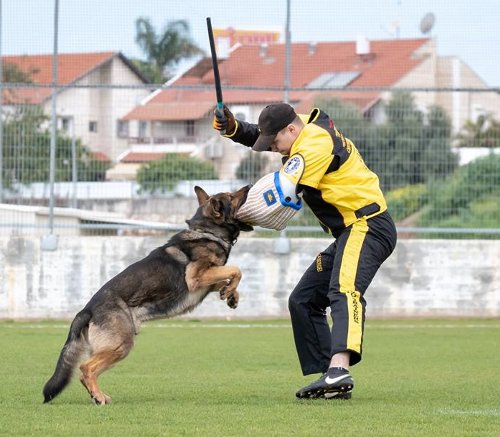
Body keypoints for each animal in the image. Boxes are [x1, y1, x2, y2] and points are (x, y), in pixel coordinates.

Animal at [42, 182, 254, 404]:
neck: (206, 231)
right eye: (231, 196)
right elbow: (236, 269)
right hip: (121, 344)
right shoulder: (196, 277)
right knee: (85, 368)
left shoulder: (207, 280)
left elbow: (227, 276)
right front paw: (230, 290)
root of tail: (87, 309)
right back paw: (98, 396)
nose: (249, 185)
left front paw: (231, 294)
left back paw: (98, 395)